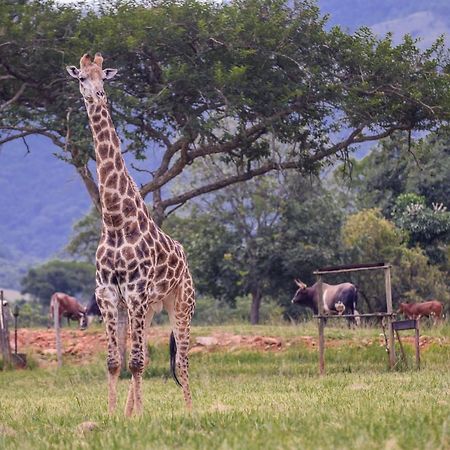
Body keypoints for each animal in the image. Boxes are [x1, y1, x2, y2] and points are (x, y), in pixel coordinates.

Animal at [66, 51, 195, 414]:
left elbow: (135, 361)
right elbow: (115, 361)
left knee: (181, 360)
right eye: (82, 77)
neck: (114, 220)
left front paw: (138, 416)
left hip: (181, 302)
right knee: (148, 354)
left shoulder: (136, 292)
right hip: (150, 307)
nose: (97, 95)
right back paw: (131, 410)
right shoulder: (108, 293)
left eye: (104, 78)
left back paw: (191, 410)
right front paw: (115, 415)